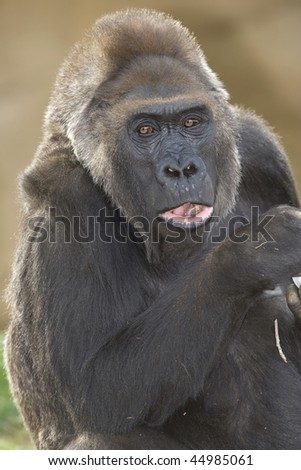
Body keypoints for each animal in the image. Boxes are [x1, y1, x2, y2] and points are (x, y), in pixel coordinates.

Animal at [4, 9, 301, 450]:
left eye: (192, 122)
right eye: (145, 130)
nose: (181, 169)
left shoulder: (259, 148)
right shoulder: (63, 192)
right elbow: (95, 390)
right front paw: (257, 251)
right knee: (102, 437)